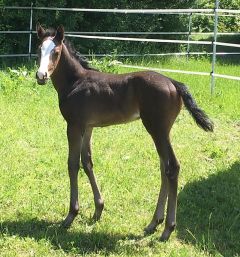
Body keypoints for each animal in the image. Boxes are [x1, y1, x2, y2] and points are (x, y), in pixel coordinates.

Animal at [34, 23, 213, 240]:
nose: (41, 76)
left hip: (157, 129)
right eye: (39, 50)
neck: (75, 82)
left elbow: (72, 164)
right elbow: (87, 162)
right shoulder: (88, 127)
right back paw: (153, 223)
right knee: (164, 167)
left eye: (56, 52)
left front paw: (70, 216)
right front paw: (98, 210)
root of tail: (173, 82)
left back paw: (167, 228)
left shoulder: (74, 125)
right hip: (162, 131)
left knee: (173, 167)